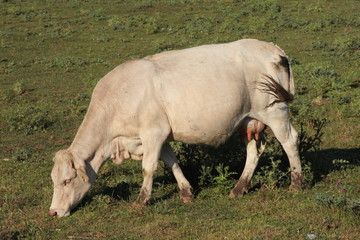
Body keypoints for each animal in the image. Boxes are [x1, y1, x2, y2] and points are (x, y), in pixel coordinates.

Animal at [48, 39, 300, 218]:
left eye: (67, 180)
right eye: (54, 180)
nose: (54, 212)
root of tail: (273, 49)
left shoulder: (153, 133)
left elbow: (148, 168)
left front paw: (141, 201)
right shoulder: (161, 136)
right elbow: (172, 162)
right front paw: (186, 192)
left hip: (275, 111)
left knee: (290, 141)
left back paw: (296, 184)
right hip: (248, 120)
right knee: (254, 150)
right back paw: (240, 187)